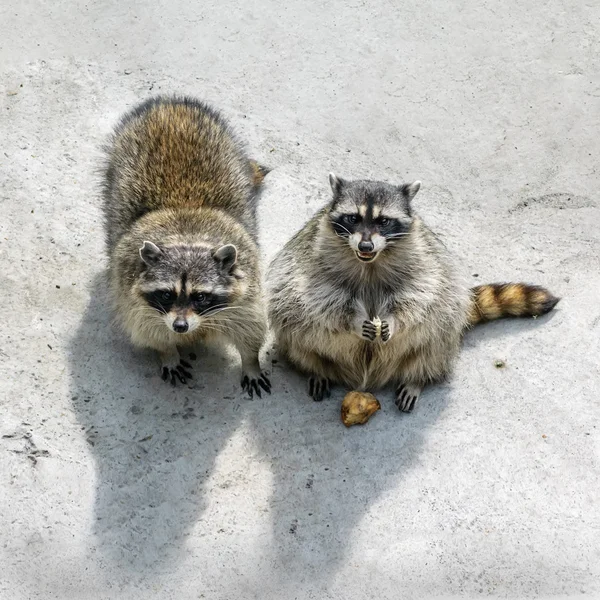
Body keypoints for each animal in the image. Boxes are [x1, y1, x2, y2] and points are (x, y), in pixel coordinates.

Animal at [103, 96, 272, 396]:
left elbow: (250, 328)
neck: (187, 241)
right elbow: (147, 330)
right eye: (166, 294)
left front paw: (251, 362)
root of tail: (169, 103)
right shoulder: (130, 294)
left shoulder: (248, 289)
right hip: (115, 170)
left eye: (201, 296)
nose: (180, 326)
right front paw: (167, 352)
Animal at [268, 171, 556, 410]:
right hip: (296, 334)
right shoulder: (313, 255)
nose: (365, 246)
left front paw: (393, 321)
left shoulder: (421, 255)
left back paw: (418, 378)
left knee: (434, 339)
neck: (370, 261)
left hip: (444, 332)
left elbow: (421, 291)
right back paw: (317, 369)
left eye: (384, 221)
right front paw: (354, 320)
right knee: (298, 335)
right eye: (353, 218)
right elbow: (315, 292)